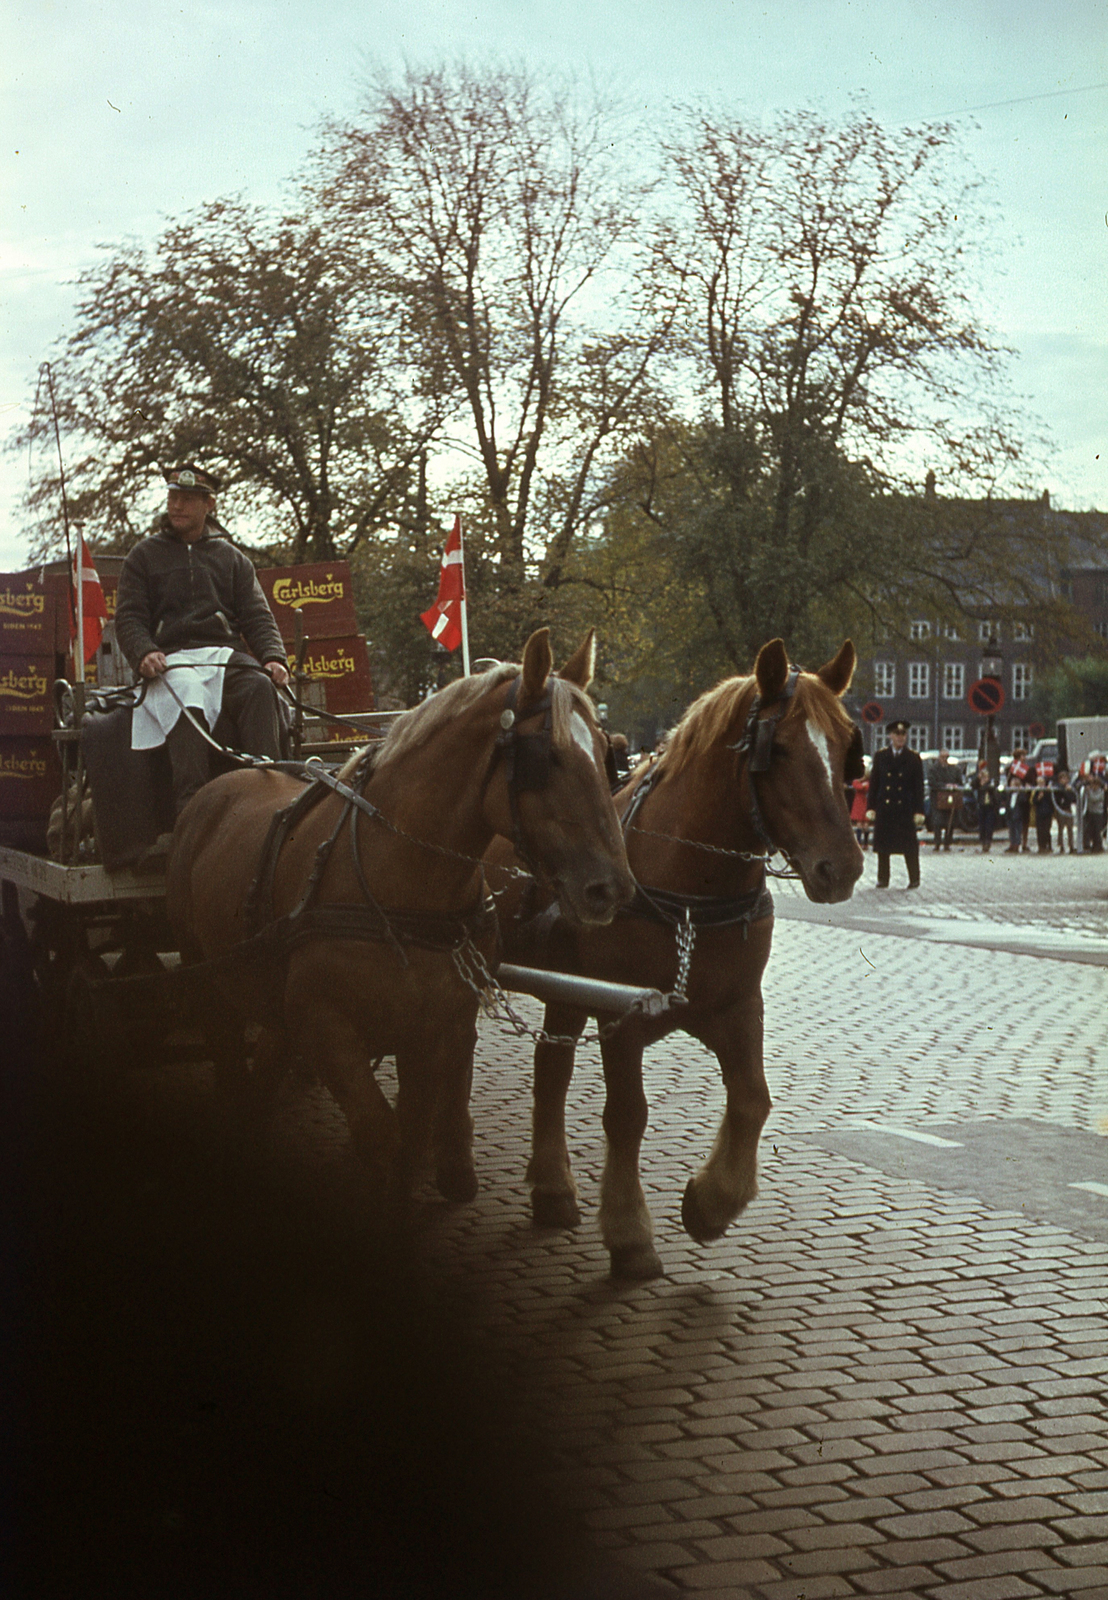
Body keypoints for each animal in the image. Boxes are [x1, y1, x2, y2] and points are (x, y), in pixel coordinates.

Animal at [163, 630, 630, 1203]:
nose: (612, 888)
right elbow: (381, 1134)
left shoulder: (440, 1026)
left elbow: (421, 1136)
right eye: (551, 756)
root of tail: (218, 786)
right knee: (230, 1068)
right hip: (208, 984)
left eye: (607, 754)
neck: (404, 886)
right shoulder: (326, 1028)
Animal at [489, 636, 858, 1273]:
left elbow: (752, 1101)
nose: (845, 866)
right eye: (780, 748)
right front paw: (630, 1232)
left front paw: (711, 1204)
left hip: (564, 989)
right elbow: (627, 1116)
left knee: (550, 1072)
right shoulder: (621, 1016)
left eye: (843, 743)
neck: (689, 888)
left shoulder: (737, 1008)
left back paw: (553, 1190)